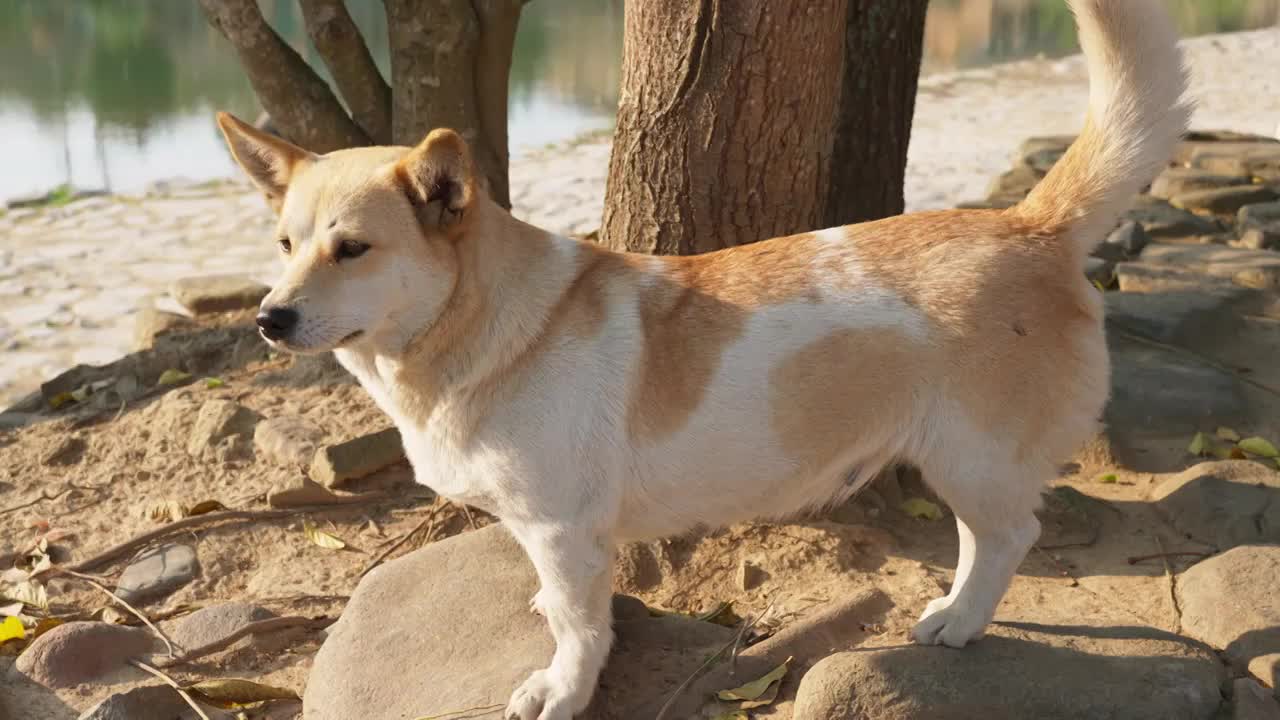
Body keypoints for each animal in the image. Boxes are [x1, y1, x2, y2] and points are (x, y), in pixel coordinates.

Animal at [217, 0, 1187, 712]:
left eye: (352, 250)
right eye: (283, 244)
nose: (268, 319)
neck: (482, 330)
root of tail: (1031, 224)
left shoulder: (563, 530)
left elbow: (577, 626)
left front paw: (562, 690)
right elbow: (560, 604)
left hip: (971, 456)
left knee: (1011, 536)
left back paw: (961, 624)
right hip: (955, 461)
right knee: (981, 538)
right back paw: (952, 605)